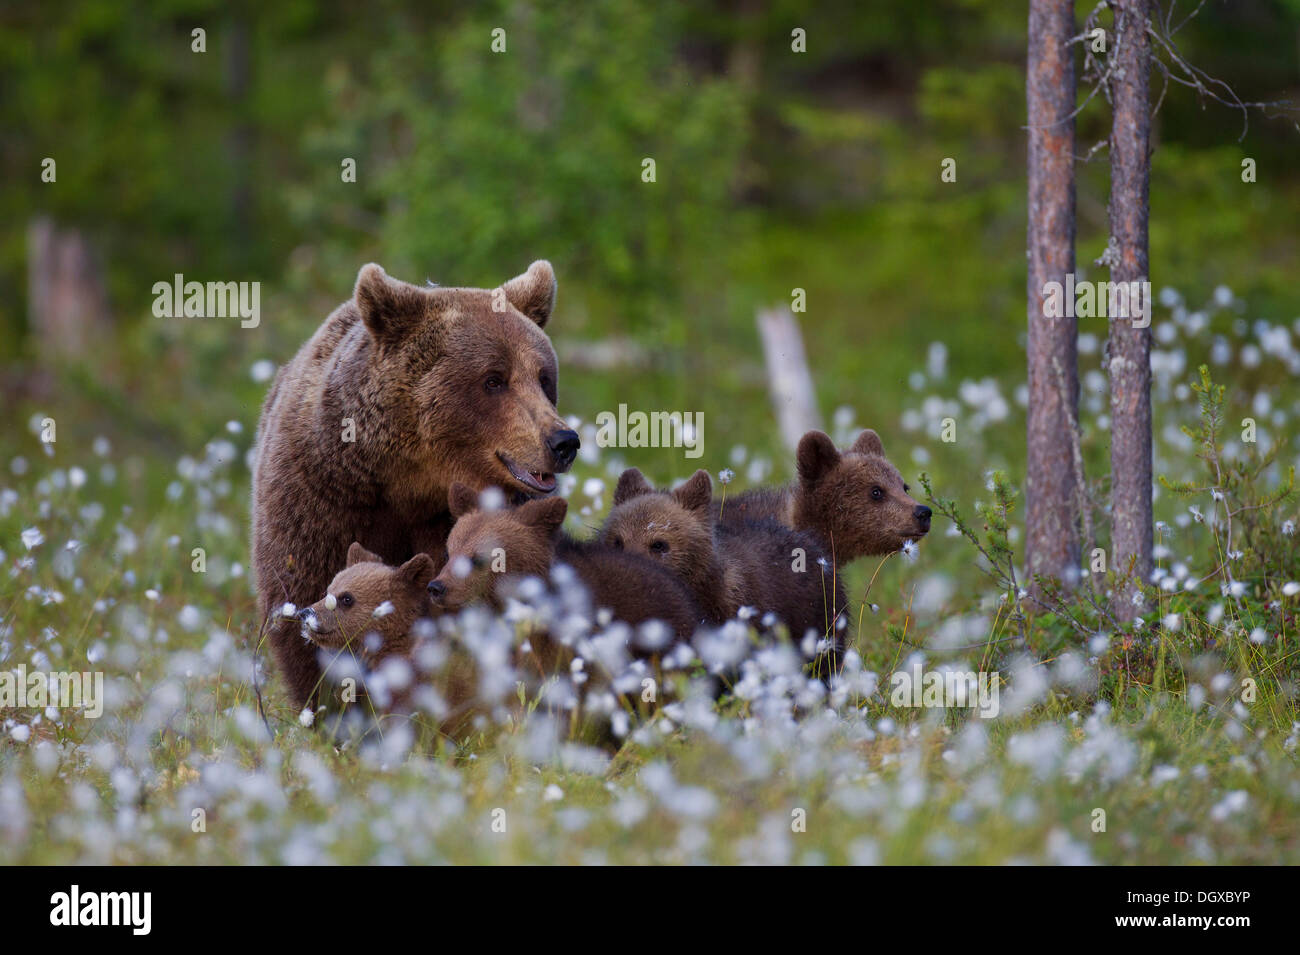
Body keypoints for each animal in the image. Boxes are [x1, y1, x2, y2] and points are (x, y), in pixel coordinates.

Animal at [250, 261, 577, 712]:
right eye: (494, 379)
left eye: (544, 378)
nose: (563, 441)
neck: (410, 479)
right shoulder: (321, 494)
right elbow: (301, 592)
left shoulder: (449, 523)